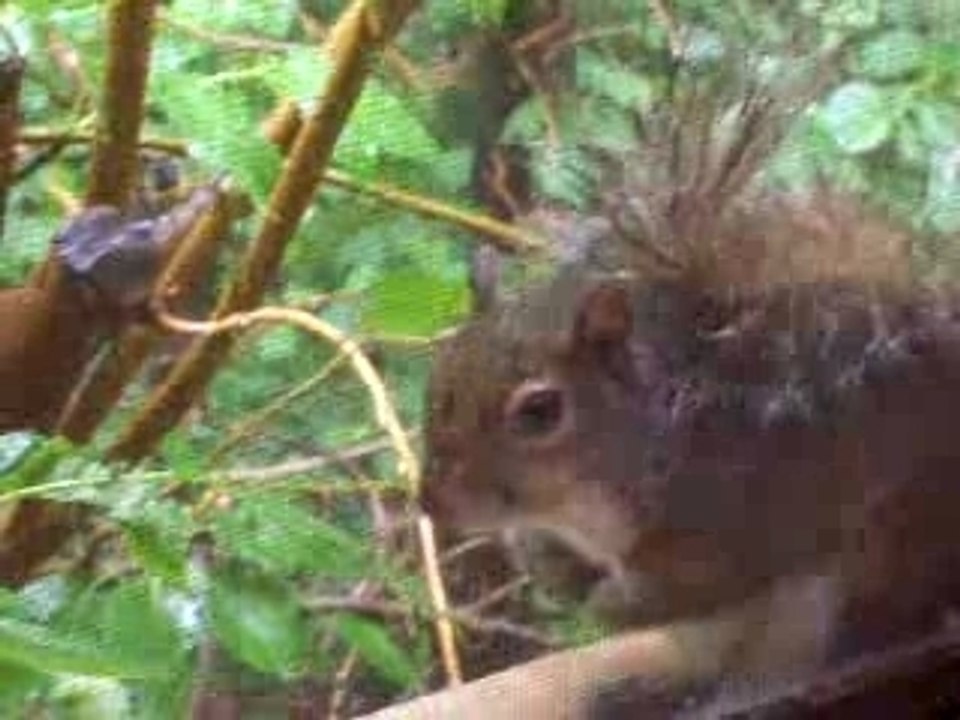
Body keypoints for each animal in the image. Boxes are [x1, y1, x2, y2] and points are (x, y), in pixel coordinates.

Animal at [419, 72, 960, 716]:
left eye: (540, 410)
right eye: (441, 372)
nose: (430, 502)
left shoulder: (731, 517)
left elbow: (694, 585)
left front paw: (608, 602)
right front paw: (547, 565)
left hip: (838, 596)